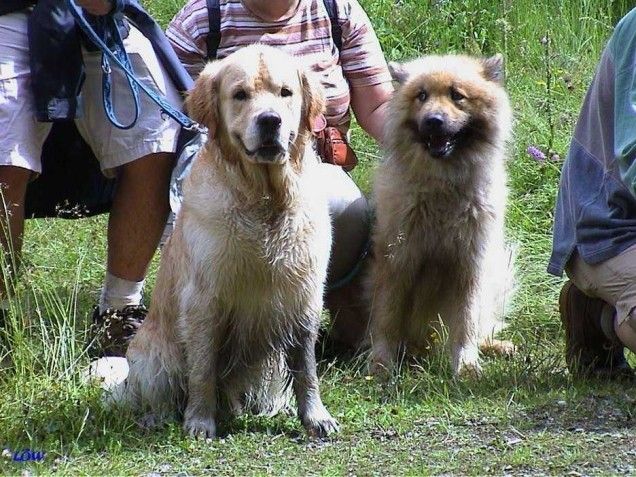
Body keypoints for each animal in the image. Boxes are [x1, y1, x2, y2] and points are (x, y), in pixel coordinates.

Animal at [123, 45, 338, 438]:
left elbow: (306, 367)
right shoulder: (203, 298)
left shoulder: (304, 293)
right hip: (153, 353)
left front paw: (315, 416)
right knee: (157, 390)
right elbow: (203, 367)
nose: (270, 121)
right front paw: (199, 420)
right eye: (240, 95)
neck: (264, 199)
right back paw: (156, 416)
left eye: (285, 93)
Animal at [368, 54, 516, 376]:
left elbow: (466, 321)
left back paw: (496, 346)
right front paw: (381, 362)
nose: (433, 121)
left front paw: (466, 364)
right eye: (421, 96)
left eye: (456, 95)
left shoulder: (470, 264)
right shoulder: (398, 259)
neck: (442, 187)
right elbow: (387, 315)